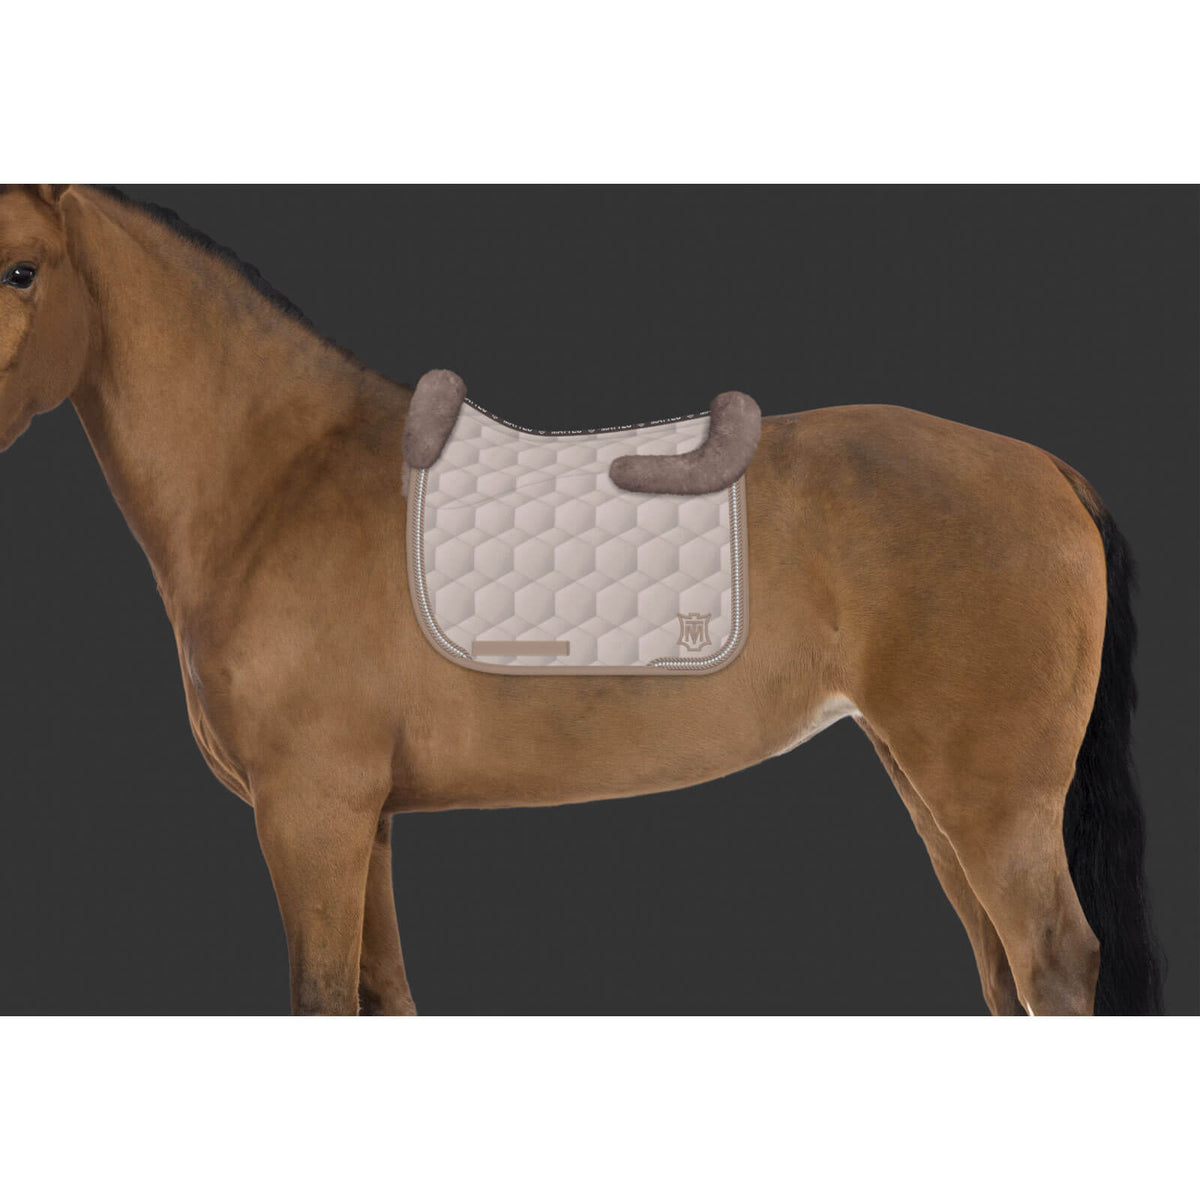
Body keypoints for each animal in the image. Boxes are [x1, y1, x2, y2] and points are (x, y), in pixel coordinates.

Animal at [0, 184, 1163, 1016]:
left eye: (21, 267)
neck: (281, 479)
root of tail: (1044, 468)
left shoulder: (311, 814)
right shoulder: (362, 825)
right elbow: (384, 998)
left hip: (990, 802)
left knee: (1052, 967)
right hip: (929, 788)